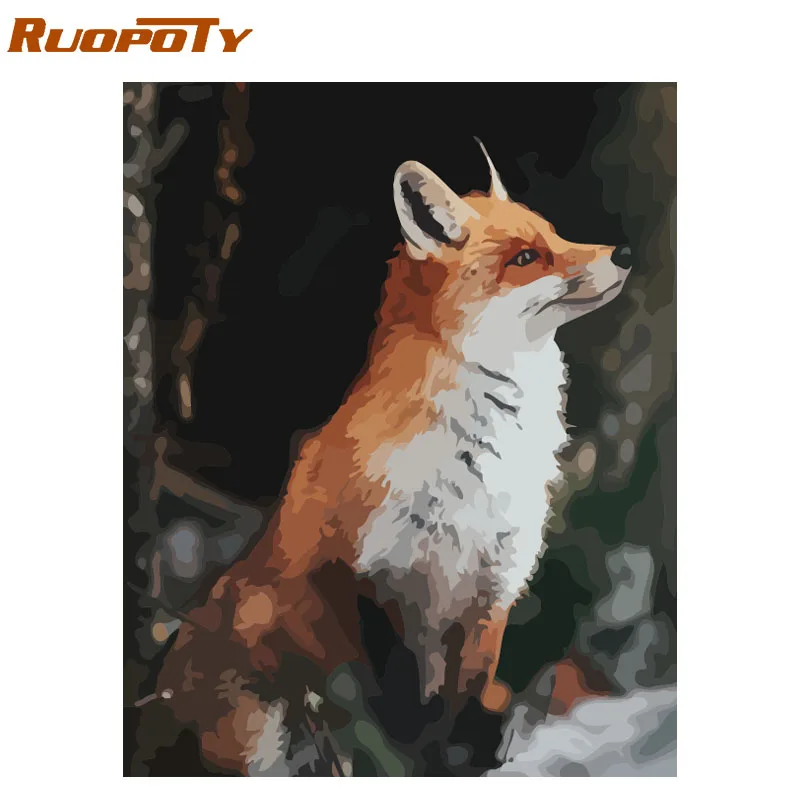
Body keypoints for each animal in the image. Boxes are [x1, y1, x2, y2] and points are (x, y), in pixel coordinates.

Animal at [152, 140, 632, 775]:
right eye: (527, 257)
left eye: (556, 233)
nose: (624, 251)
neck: (477, 464)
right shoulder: (371, 574)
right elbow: (399, 721)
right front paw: (421, 760)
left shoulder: (491, 591)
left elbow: (462, 702)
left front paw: (462, 761)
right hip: (257, 699)